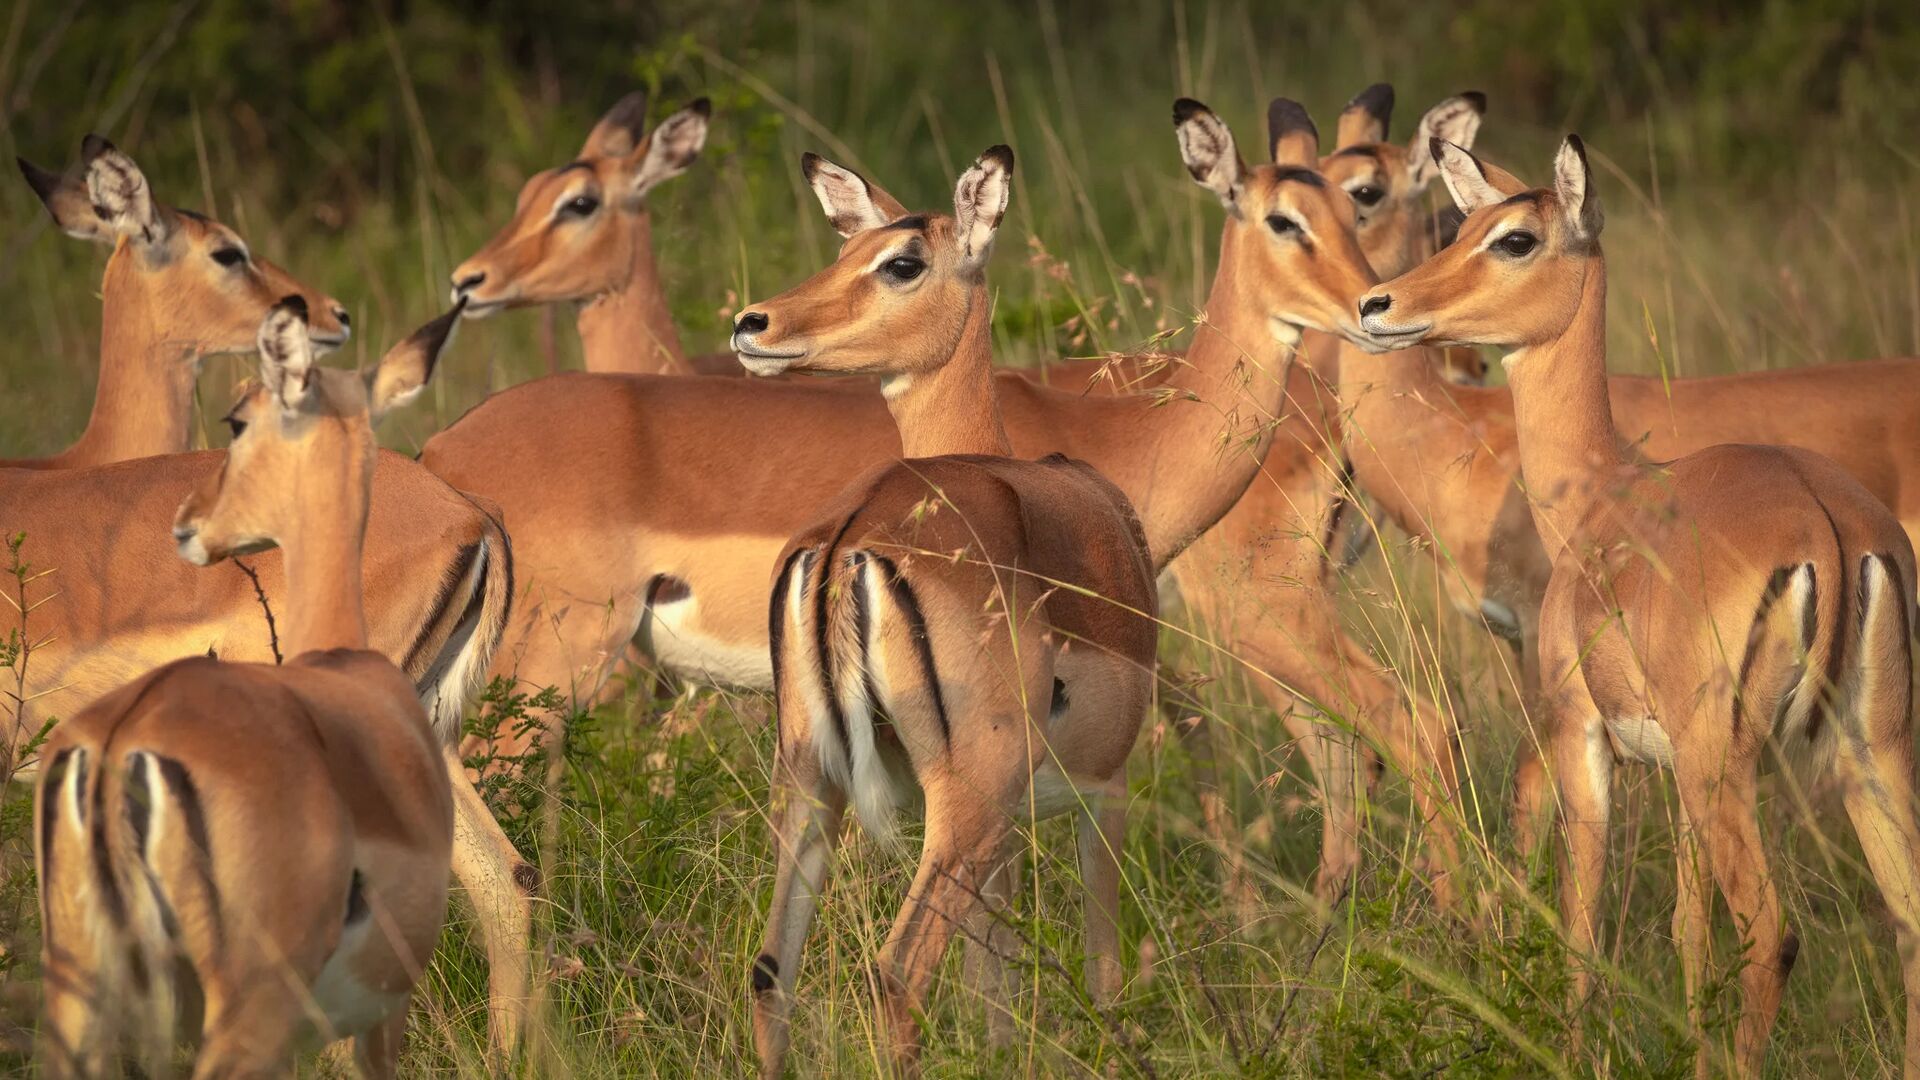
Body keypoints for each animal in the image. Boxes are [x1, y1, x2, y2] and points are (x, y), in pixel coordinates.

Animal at [735, 144, 1156, 1075]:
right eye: (850, 249)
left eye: (900, 261)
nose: (752, 323)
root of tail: (851, 543)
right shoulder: (1104, 792)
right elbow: (1103, 974)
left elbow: (993, 975)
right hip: (966, 800)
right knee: (896, 971)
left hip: (814, 788)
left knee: (771, 973)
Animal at [1359, 135, 1920, 1078]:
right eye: (1463, 225)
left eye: (1515, 238)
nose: (1377, 303)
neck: (1600, 494)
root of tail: (1830, 526)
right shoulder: (1674, 780)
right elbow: (1688, 931)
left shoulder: (1586, 740)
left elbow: (1582, 931)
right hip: (1862, 752)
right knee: (1908, 922)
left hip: (1728, 765)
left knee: (1771, 938)